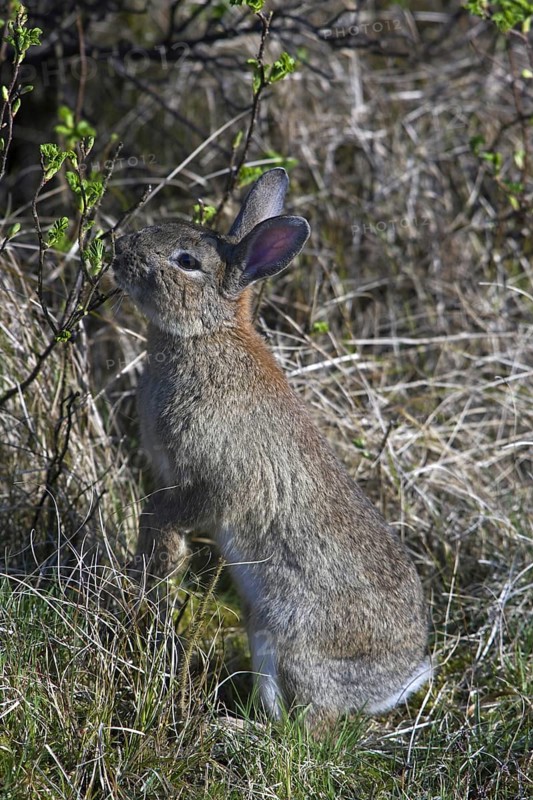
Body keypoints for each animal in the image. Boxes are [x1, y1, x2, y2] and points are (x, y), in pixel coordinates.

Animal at [112, 168, 431, 733]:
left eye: (186, 261)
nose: (117, 249)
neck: (207, 334)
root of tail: (393, 685)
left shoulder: (216, 480)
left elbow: (183, 510)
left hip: (295, 644)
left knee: (309, 729)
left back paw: (233, 728)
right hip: (264, 639)